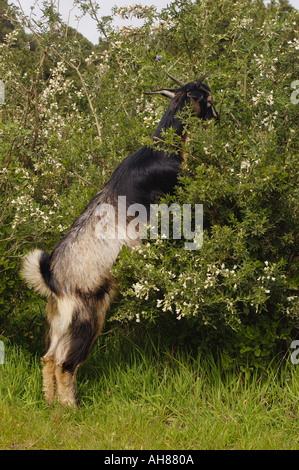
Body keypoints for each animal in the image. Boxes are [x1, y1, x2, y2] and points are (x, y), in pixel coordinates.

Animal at [20, 71, 218, 406]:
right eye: (208, 99)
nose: (216, 117)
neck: (161, 148)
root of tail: (53, 280)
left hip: (58, 321)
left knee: (48, 358)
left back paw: (50, 402)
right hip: (87, 316)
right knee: (65, 363)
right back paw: (71, 407)